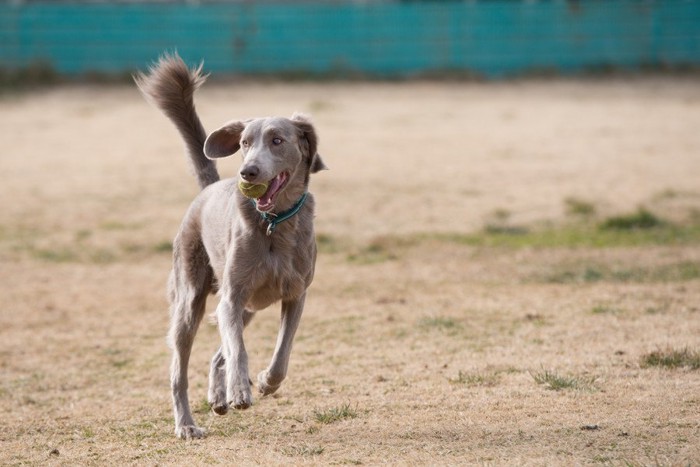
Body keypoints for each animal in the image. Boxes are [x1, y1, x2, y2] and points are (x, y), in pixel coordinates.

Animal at [135, 54, 326, 438]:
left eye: (277, 140)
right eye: (244, 143)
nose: (248, 172)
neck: (274, 223)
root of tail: (209, 187)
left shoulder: (296, 295)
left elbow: (282, 353)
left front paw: (266, 382)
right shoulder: (233, 297)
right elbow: (238, 350)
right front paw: (240, 390)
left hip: (248, 305)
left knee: (217, 352)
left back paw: (217, 397)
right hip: (191, 300)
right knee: (181, 370)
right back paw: (187, 423)